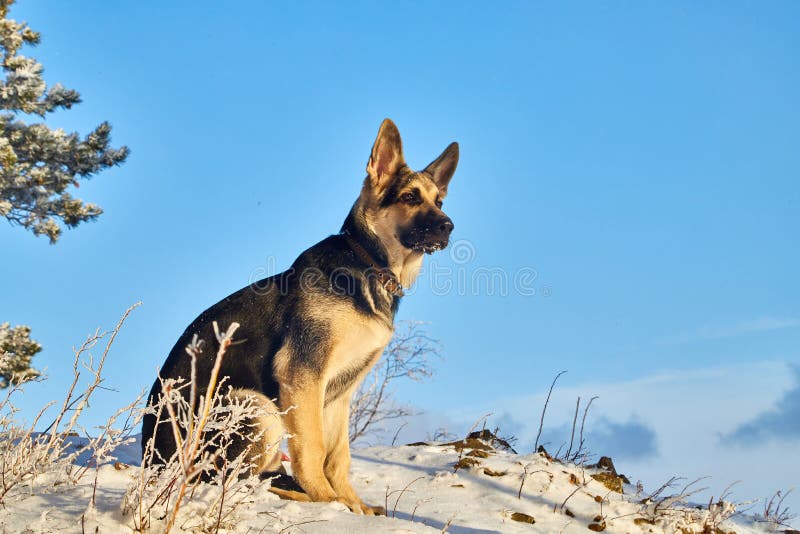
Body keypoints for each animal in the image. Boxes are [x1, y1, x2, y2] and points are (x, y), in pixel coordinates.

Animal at [141, 120, 460, 516]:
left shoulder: (339, 392)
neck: (367, 262)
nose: (448, 226)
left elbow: (338, 456)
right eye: (410, 197)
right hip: (256, 406)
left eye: (439, 201)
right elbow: (313, 450)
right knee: (229, 481)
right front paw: (328, 501)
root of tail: (154, 464)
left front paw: (353, 506)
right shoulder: (302, 375)